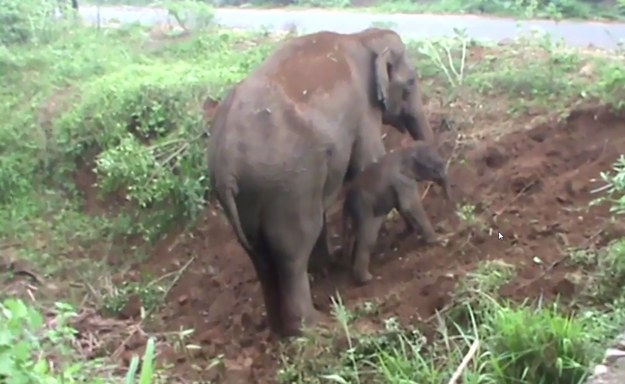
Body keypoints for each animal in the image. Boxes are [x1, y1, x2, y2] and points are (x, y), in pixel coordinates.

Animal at [208, 28, 434, 338]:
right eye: (411, 82)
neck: (362, 36)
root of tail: (225, 165)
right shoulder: (363, 111)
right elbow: (370, 161)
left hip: (247, 200)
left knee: (260, 256)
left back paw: (280, 328)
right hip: (287, 185)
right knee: (294, 245)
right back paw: (311, 325)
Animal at [338, 142, 450, 284]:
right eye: (435, 169)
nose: (449, 201)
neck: (405, 152)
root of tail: (346, 201)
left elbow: (402, 207)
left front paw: (408, 232)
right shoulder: (402, 180)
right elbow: (409, 205)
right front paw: (439, 239)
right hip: (363, 207)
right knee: (368, 237)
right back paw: (366, 279)